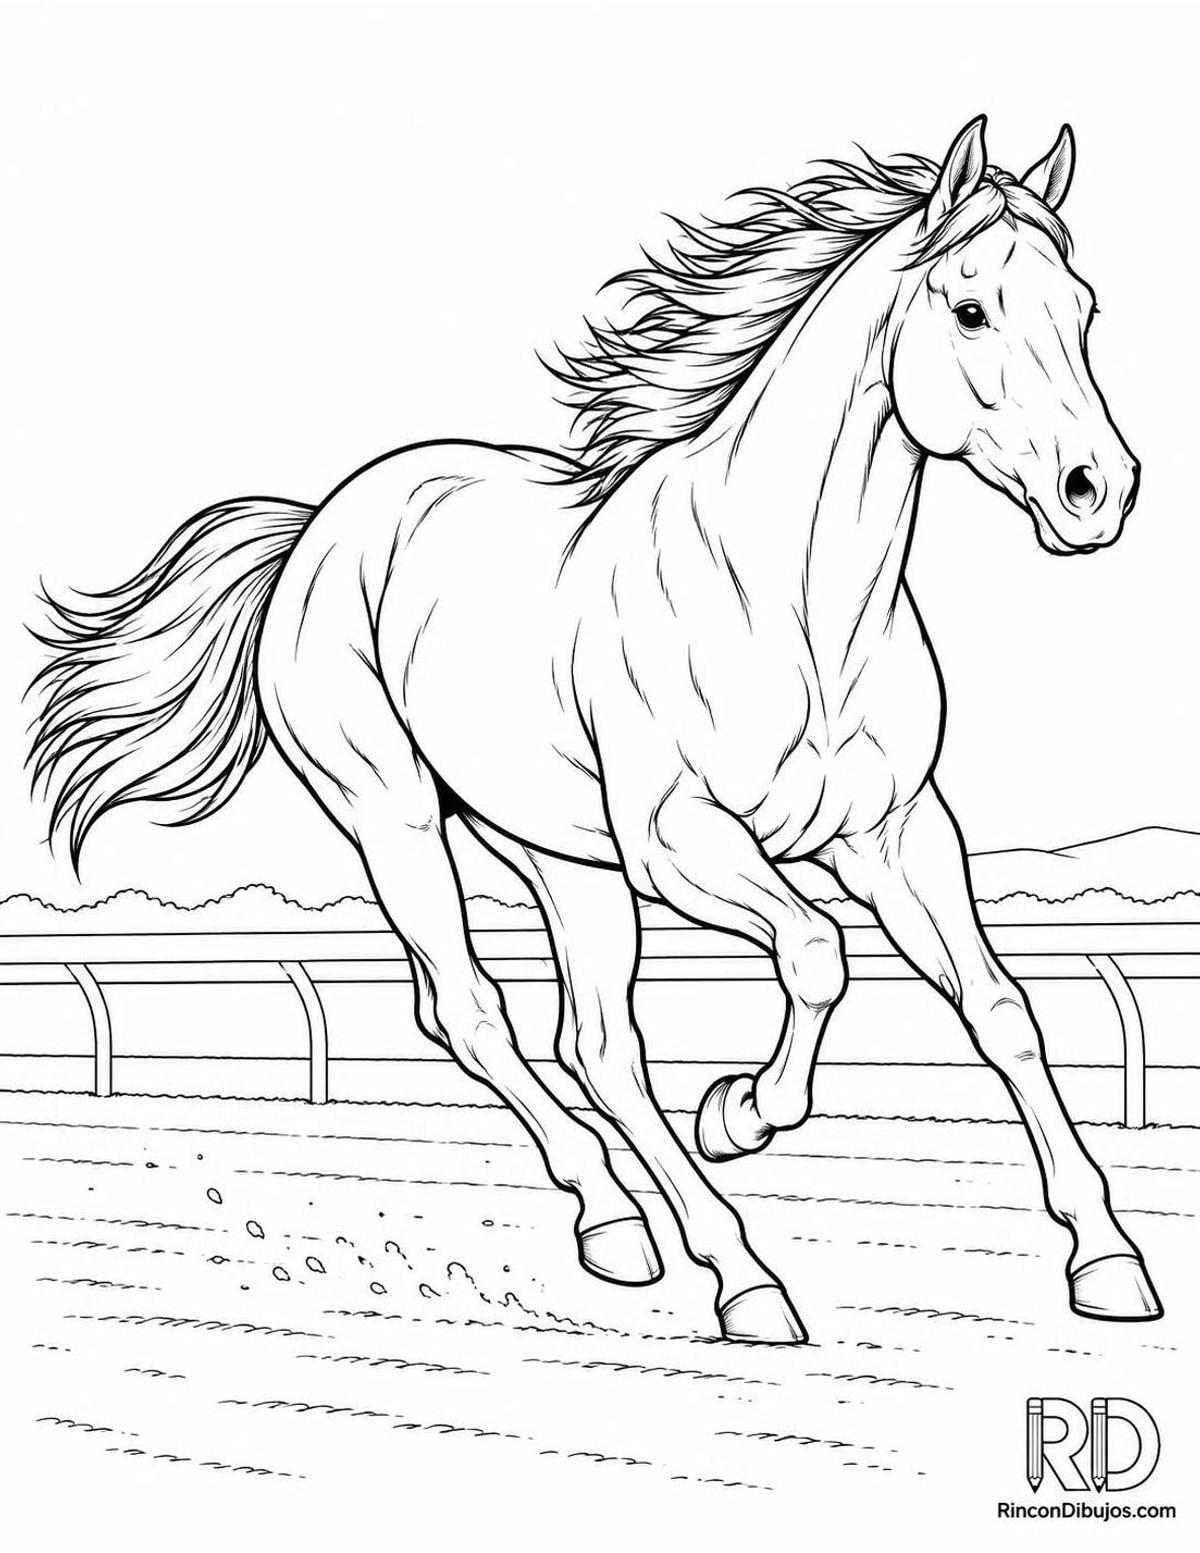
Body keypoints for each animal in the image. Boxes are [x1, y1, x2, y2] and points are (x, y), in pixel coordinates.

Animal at [29, 116, 1160, 1343]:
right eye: (970, 309)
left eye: (1083, 308)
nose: (1099, 490)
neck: (793, 604)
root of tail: (320, 526)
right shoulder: (682, 842)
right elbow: (816, 953)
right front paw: (743, 1110)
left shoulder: (898, 832)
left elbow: (1001, 1010)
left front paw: (1109, 1261)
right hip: (395, 819)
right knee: (477, 1013)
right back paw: (726, 1268)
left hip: (561, 855)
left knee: (598, 1042)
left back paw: (633, 1231)